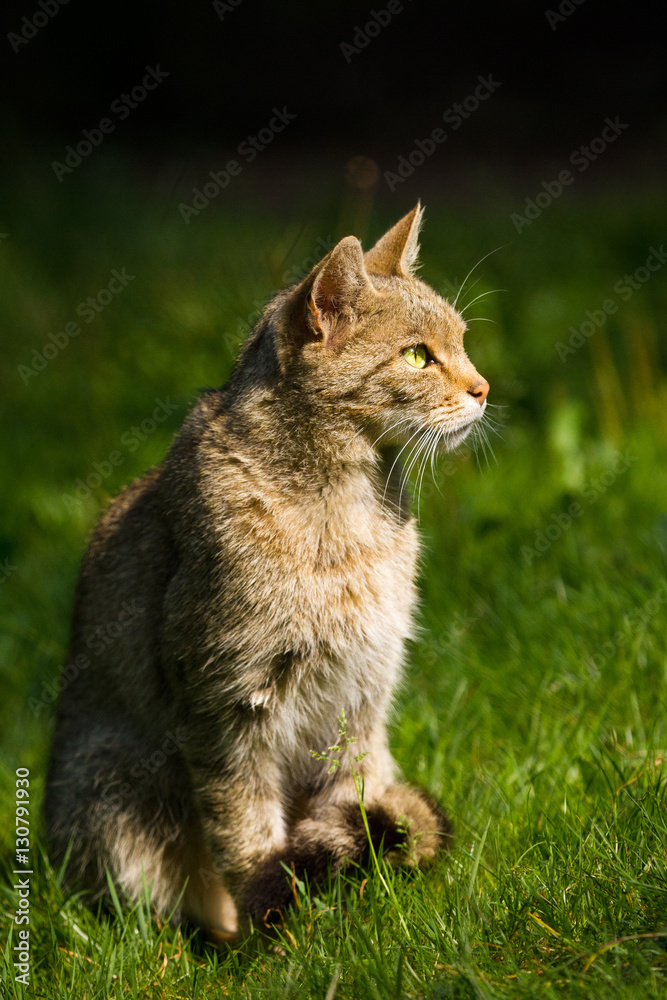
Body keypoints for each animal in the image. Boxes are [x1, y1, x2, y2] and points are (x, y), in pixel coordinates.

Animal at [43, 203, 490, 936]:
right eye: (418, 355)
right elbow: (246, 830)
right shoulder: (226, 707)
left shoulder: (357, 701)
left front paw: (344, 910)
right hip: (112, 784)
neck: (346, 510)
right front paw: (276, 929)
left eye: (460, 342)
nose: (484, 388)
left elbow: (351, 806)